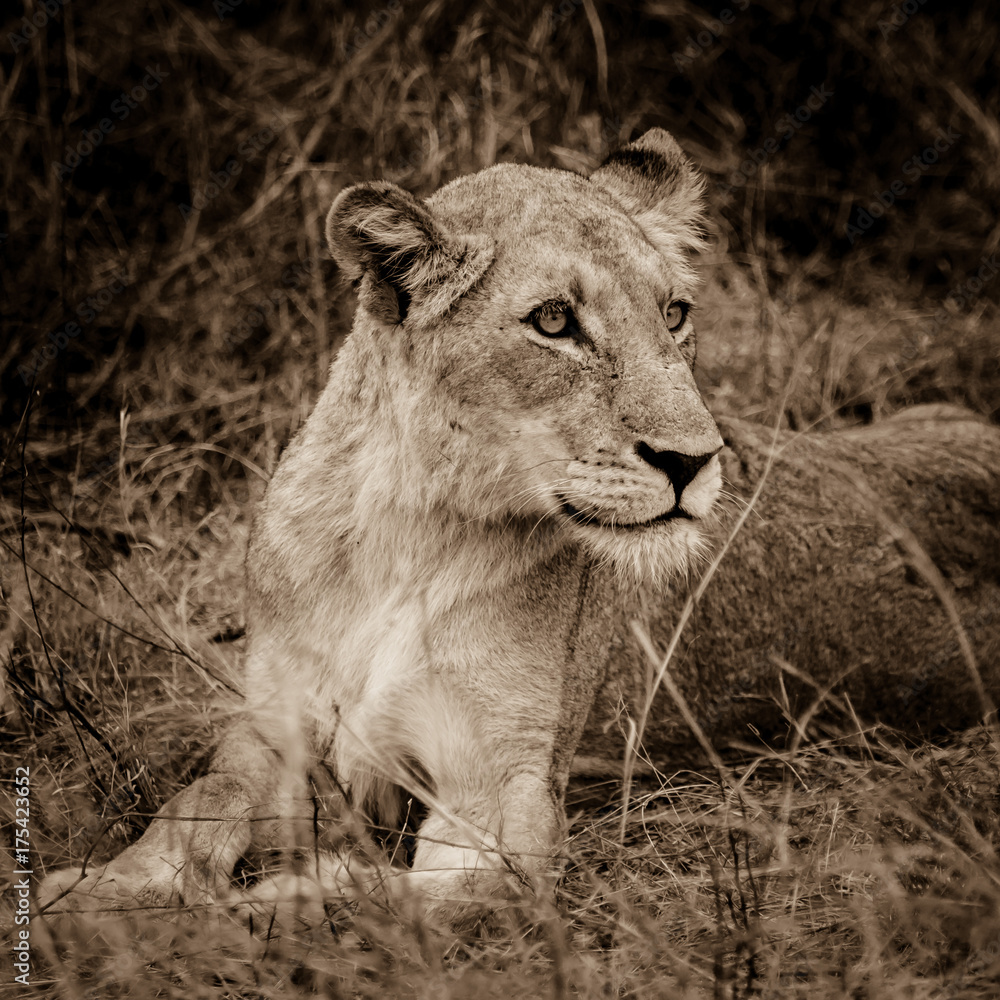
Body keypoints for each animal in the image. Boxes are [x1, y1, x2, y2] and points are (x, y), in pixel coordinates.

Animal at [38, 129, 1000, 931]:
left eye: (675, 314)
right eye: (553, 321)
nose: (694, 461)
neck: (405, 537)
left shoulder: (503, 792)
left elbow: (399, 900)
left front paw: (276, 900)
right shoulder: (273, 722)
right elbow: (196, 800)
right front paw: (98, 890)